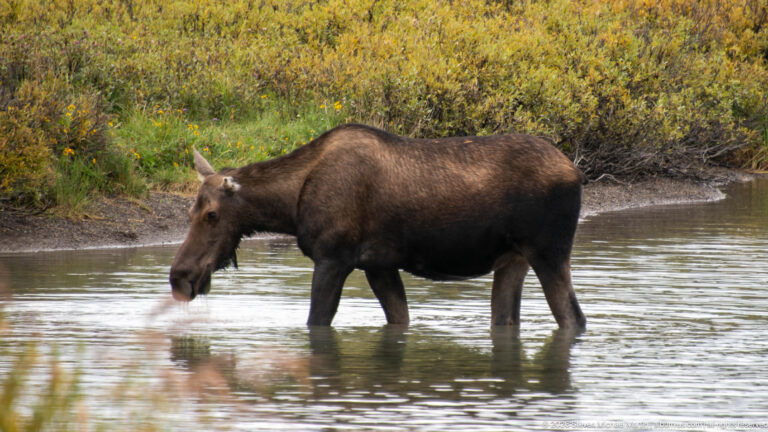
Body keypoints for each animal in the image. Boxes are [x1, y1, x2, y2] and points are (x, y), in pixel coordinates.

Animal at [170, 124, 587, 329]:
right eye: (188, 213)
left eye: (211, 214)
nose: (179, 276)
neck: (290, 205)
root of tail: (577, 172)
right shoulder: (379, 265)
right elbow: (399, 320)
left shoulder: (333, 258)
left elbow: (316, 322)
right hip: (513, 259)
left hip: (549, 252)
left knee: (574, 319)